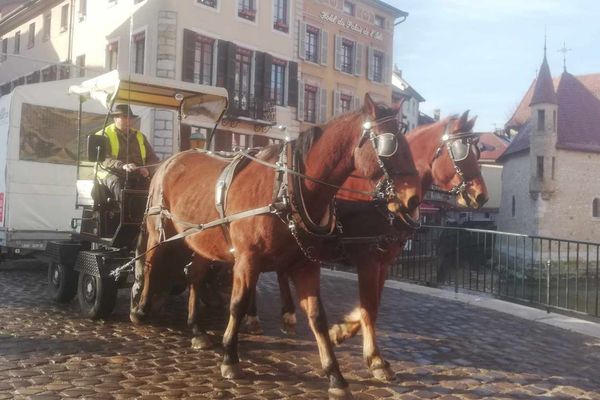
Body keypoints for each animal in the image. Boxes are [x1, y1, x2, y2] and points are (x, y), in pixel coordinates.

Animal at [131, 95, 422, 398]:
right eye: (389, 145)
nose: (413, 199)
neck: (287, 188)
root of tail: (171, 160)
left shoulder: (307, 264)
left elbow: (318, 315)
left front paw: (335, 374)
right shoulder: (248, 259)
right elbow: (237, 304)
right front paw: (230, 357)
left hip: (202, 241)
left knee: (195, 276)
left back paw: (197, 330)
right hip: (159, 231)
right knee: (150, 264)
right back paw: (141, 310)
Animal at [258, 111, 488, 380]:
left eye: (478, 152)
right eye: (461, 151)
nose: (482, 196)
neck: (381, 195)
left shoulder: (385, 260)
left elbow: (374, 303)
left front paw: (340, 331)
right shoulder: (367, 258)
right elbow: (369, 306)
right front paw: (375, 359)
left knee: (280, 270)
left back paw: (286, 315)